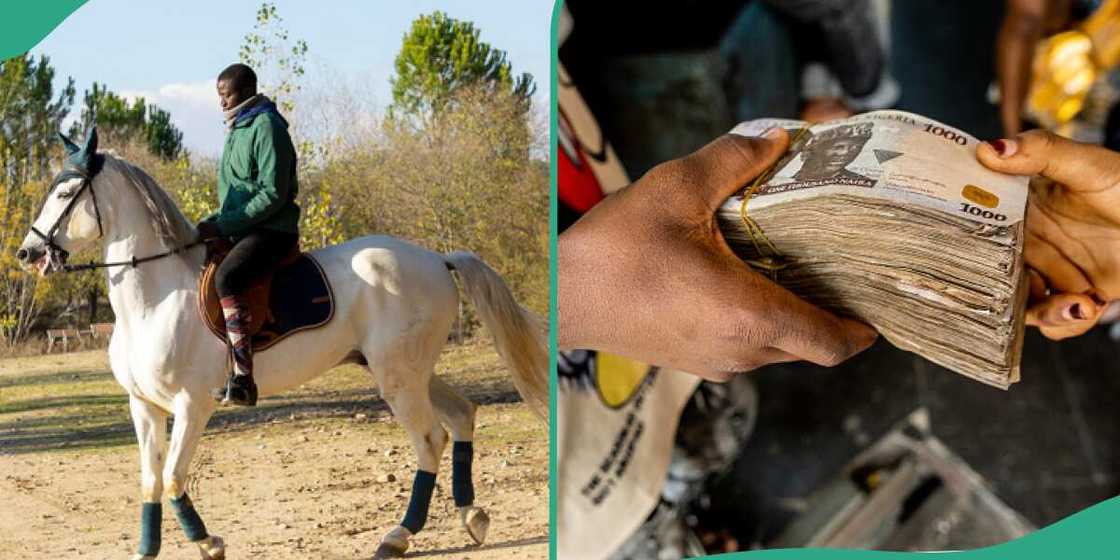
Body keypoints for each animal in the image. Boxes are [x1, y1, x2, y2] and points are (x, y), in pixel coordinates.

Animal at [13, 128, 546, 557]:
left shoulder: (191, 406)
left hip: (399, 379)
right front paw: (148, 549)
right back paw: (472, 516)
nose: (28, 252)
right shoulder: (143, 405)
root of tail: (437, 259)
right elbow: (150, 480)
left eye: (66, 193)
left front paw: (209, 543)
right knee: (462, 414)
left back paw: (397, 536)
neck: (153, 300)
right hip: (408, 372)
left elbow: (174, 477)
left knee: (431, 438)